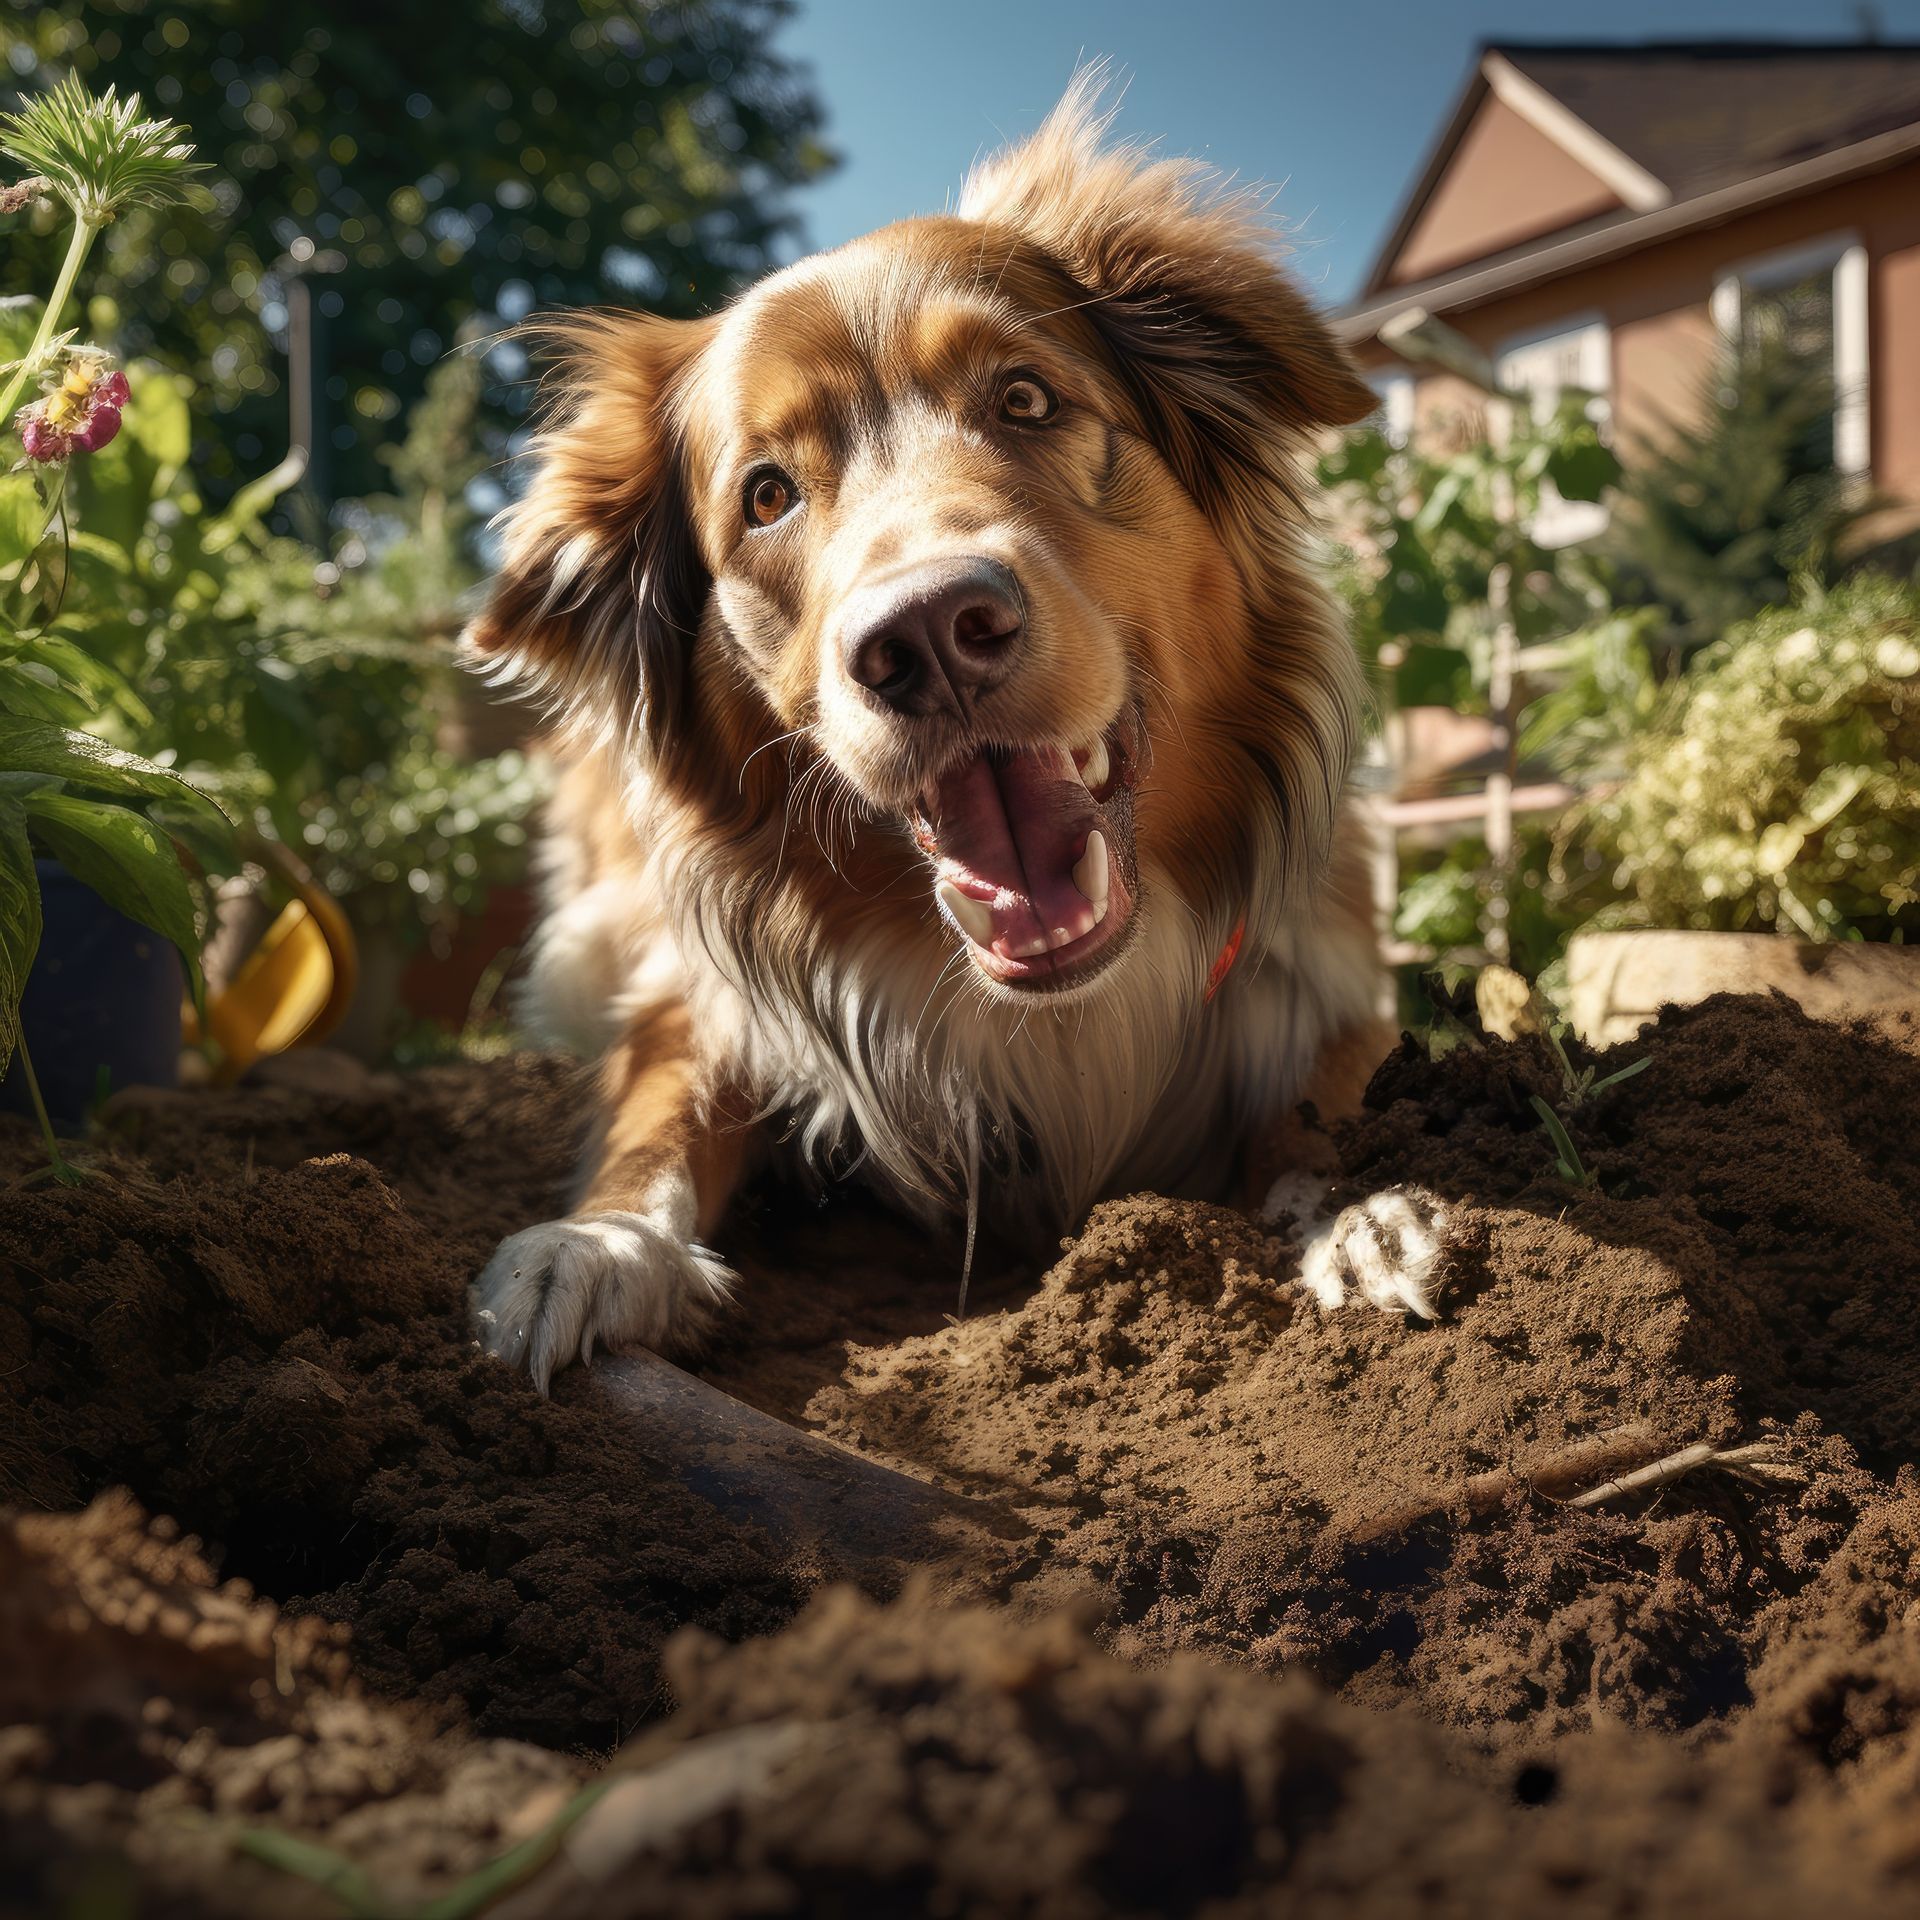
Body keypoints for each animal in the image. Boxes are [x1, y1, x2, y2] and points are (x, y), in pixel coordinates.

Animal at [464, 78, 1443, 1397]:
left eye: (1026, 399)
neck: (1058, 1011)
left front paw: (1357, 1212)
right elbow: (658, 1110)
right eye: (766, 494)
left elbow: (1319, 1097)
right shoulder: (702, 997)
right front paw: (604, 1244)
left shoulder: (1323, 971)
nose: (927, 634)